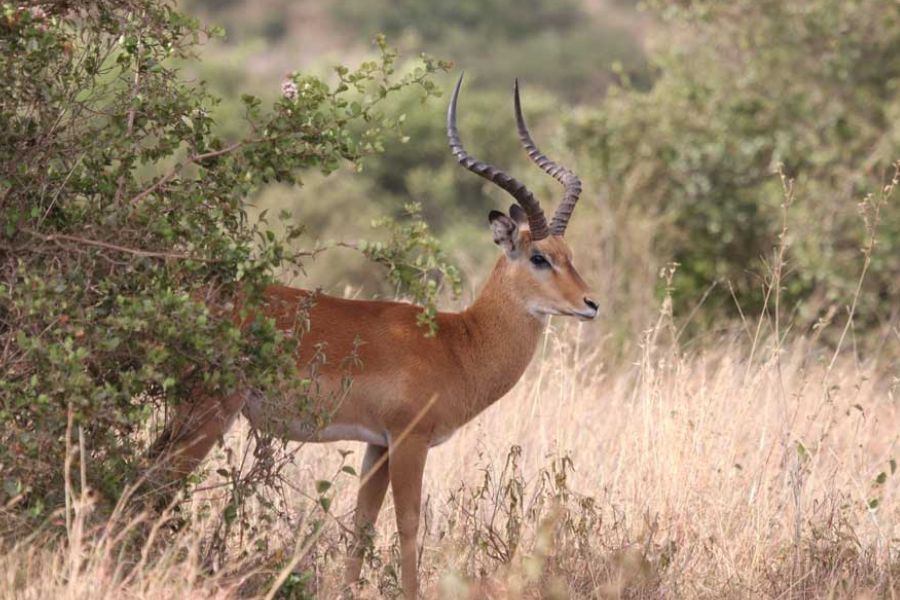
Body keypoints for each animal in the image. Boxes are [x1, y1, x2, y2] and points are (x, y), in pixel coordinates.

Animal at [152, 74, 596, 598]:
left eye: (569, 253)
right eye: (539, 257)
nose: (590, 304)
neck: (457, 343)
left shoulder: (376, 445)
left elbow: (361, 526)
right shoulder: (408, 440)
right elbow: (408, 524)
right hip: (208, 412)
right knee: (160, 481)